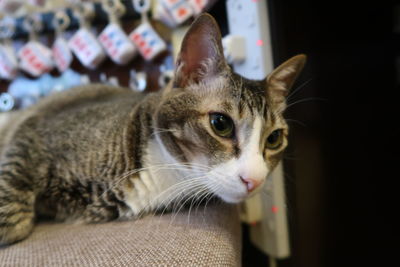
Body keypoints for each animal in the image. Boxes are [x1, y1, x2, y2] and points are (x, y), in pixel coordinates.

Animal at [0, 13, 306, 246]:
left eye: (274, 138)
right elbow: (12, 188)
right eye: (221, 124)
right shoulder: (33, 128)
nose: (254, 180)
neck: (161, 173)